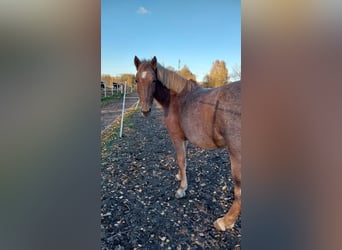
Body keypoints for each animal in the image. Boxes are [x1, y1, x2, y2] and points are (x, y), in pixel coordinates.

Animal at [134, 55, 240, 231]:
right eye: (136, 80)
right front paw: (180, 176)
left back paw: (225, 221)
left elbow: (180, 159)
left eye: (154, 80)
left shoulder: (176, 137)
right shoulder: (184, 139)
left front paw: (181, 189)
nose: (145, 110)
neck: (174, 99)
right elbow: (183, 161)